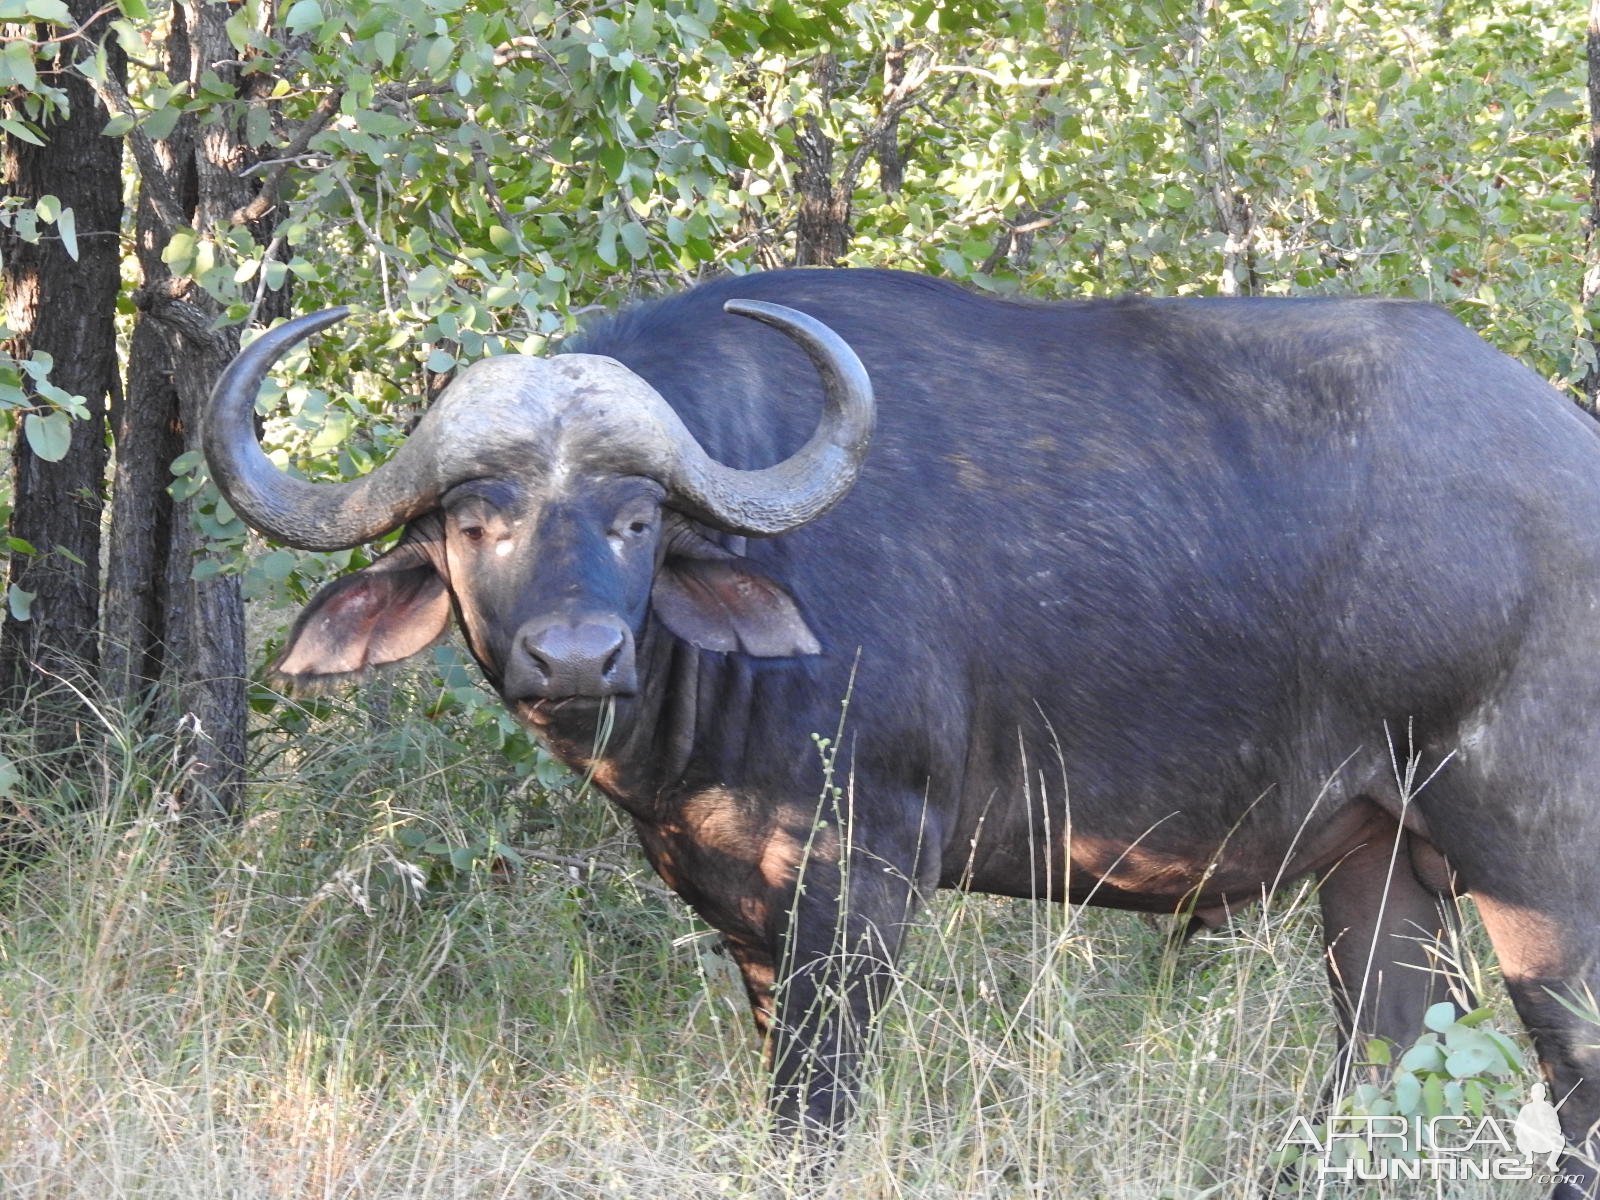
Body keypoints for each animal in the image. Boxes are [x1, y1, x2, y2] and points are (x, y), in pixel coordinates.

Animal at [212, 267, 1600, 1196]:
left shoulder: (860, 879)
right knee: (1389, 1065)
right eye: (473, 519)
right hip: (1380, 868)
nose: (574, 656)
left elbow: (817, 1104)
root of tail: (1569, 443)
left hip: (1538, 879)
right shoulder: (750, 913)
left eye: (636, 518)